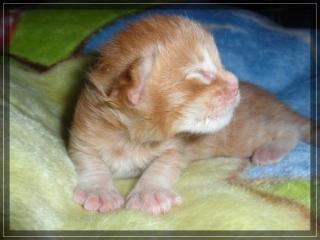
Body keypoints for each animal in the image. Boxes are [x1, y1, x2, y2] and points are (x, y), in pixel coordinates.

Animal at [69, 15, 312, 216]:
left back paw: (270, 150)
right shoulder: (83, 131)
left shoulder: (175, 148)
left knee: (287, 129)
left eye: (219, 64)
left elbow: (162, 165)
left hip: (241, 136)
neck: (134, 137)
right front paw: (99, 191)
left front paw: (150, 193)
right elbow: (90, 160)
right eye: (200, 73)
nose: (235, 83)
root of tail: (273, 101)